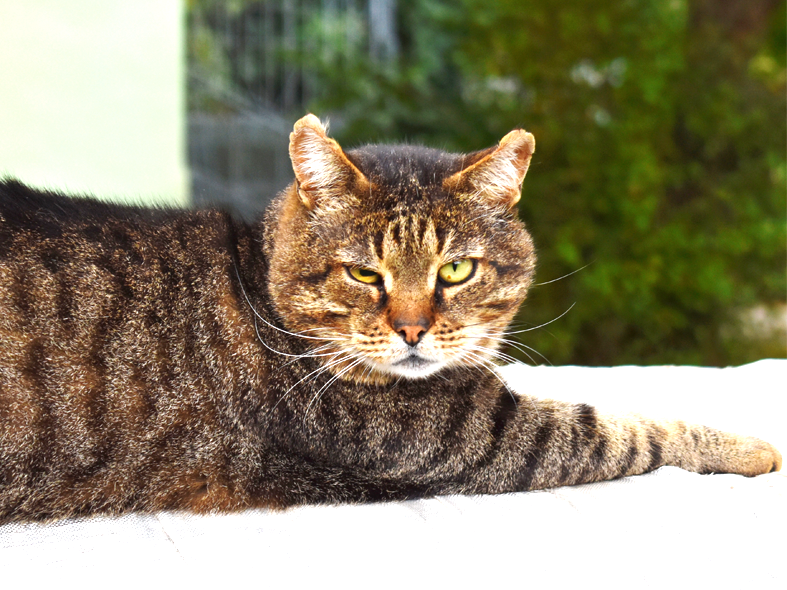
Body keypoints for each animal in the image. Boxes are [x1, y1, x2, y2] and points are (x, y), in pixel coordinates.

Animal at [0, 114, 780, 524]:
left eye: (456, 271)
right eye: (364, 274)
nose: (411, 330)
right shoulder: (480, 438)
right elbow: (630, 428)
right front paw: (747, 447)